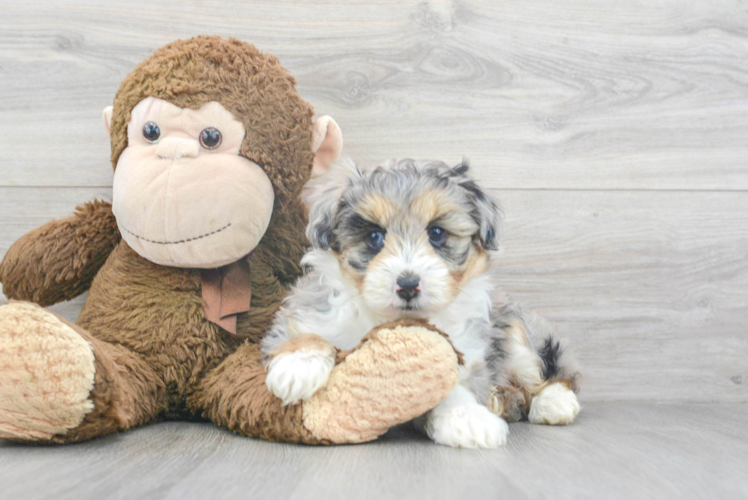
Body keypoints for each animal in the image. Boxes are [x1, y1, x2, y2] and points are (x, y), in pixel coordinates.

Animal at [260, 158, 580, 448]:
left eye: (437, 233)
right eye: (374, 236)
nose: (408, 285)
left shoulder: (467, 349)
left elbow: (454, 385)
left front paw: (468, 418)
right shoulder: (313, 305)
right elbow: (305, 327)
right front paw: (296, 367)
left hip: (517, 333)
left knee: (553, 373)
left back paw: (553, 402)